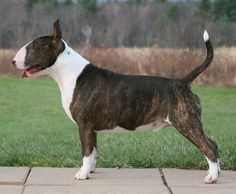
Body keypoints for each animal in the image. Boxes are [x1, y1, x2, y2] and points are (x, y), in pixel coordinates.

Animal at [12, 20, 220, 183]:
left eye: (33, 47)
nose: (12, 61)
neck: (68, 71)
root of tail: (182, 82)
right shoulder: (92, 128)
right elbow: (93, 151)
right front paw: (90, 171)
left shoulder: (84, 125)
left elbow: (86, 151)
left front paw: (82, 174)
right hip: (190, 122)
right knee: (213, 143)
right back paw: (217, 172)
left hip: (186, 122)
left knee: (209, 146)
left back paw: (212, 177)